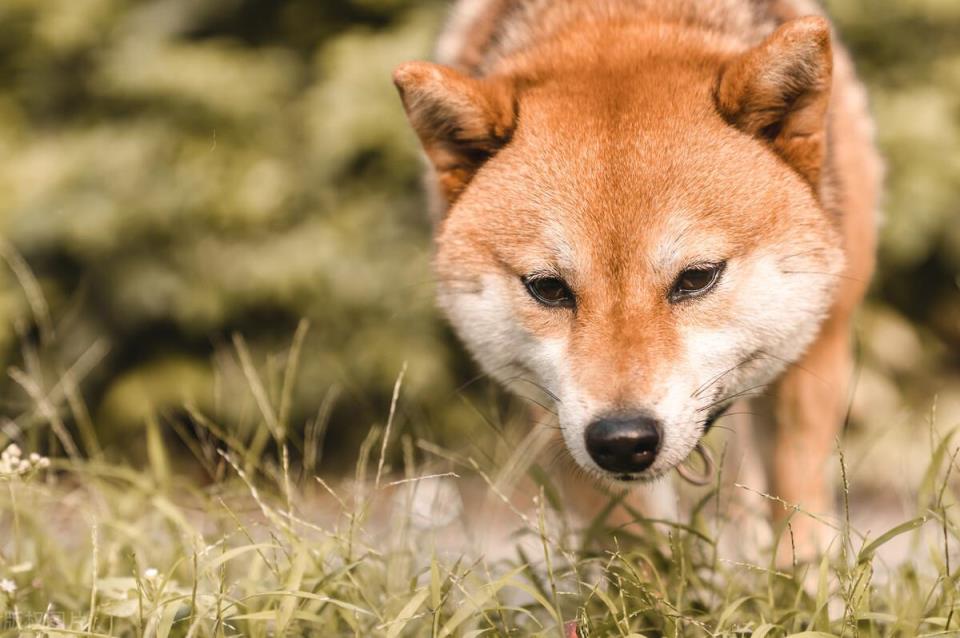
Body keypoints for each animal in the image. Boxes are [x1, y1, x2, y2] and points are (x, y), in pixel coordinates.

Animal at [390, 0, 876, 556]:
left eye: (697, 278)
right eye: (548, 288)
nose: (622, 440)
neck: (617, 19)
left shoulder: (813, 358)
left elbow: (800, 526)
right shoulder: (555, 415)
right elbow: (637, 551)